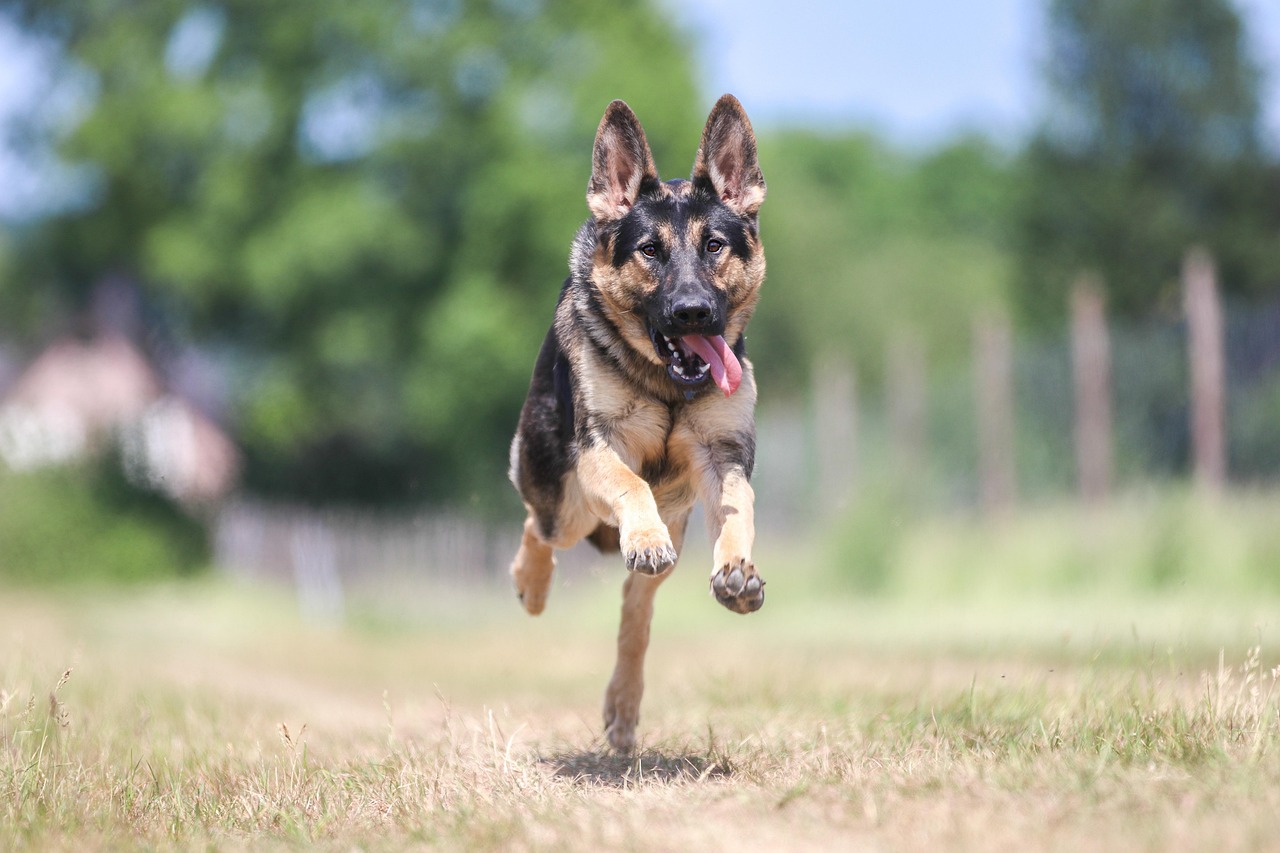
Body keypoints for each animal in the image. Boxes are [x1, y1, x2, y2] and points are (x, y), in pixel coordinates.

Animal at [506, 94, 768, 753]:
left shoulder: (722, 455)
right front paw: (642, 538)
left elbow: (740, 509)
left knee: (635, 613)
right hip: (566, 500)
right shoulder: (601, 449)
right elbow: (631, 484)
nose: (692, 312)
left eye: (715, 246)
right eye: (650, 250)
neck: (668, 385)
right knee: (539, 527)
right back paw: (533, 584)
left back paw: (623, 706)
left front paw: (737, 573)